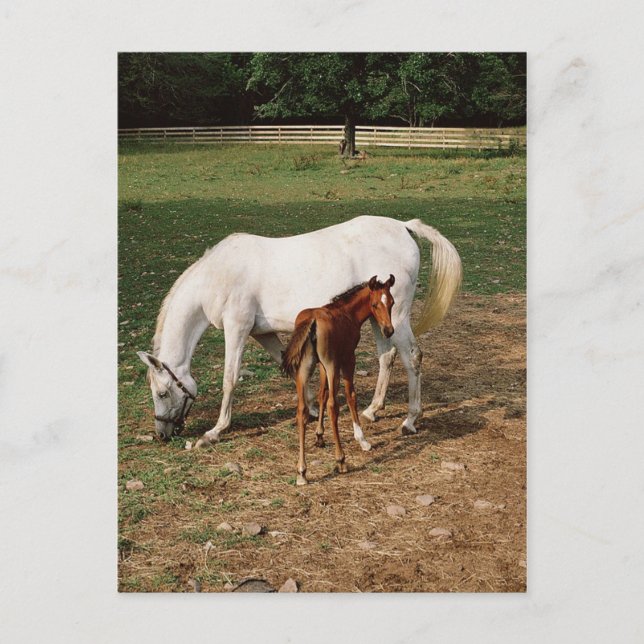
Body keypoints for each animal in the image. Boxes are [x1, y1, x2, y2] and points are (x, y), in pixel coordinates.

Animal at [136, 215, 462, 445]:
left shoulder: (237, 329)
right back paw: (372, 410)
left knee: (413, 357)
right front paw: (314, 410)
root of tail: (403, 227)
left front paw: (215, 430)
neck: (217, 275)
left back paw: (410, 420)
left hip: (398, 318)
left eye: (163, 393)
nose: (162, 433)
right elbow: (290, 365)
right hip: (379, 320)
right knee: (387, 357)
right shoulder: (261, 333)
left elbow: (230, 379)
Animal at [281, 275, 395, 485]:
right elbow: (350, 396)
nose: (388, 330)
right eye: (375, 304)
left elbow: (322, 394)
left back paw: (302, 471)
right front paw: (362, 439)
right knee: (333, 406)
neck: (347, 312)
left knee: (302, 410)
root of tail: (312, 321)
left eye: (391, 302)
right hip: (332, 364)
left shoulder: (322, 365)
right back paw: (341, 460)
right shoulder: (347, 358)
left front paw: (319, 435)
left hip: (304, 369)